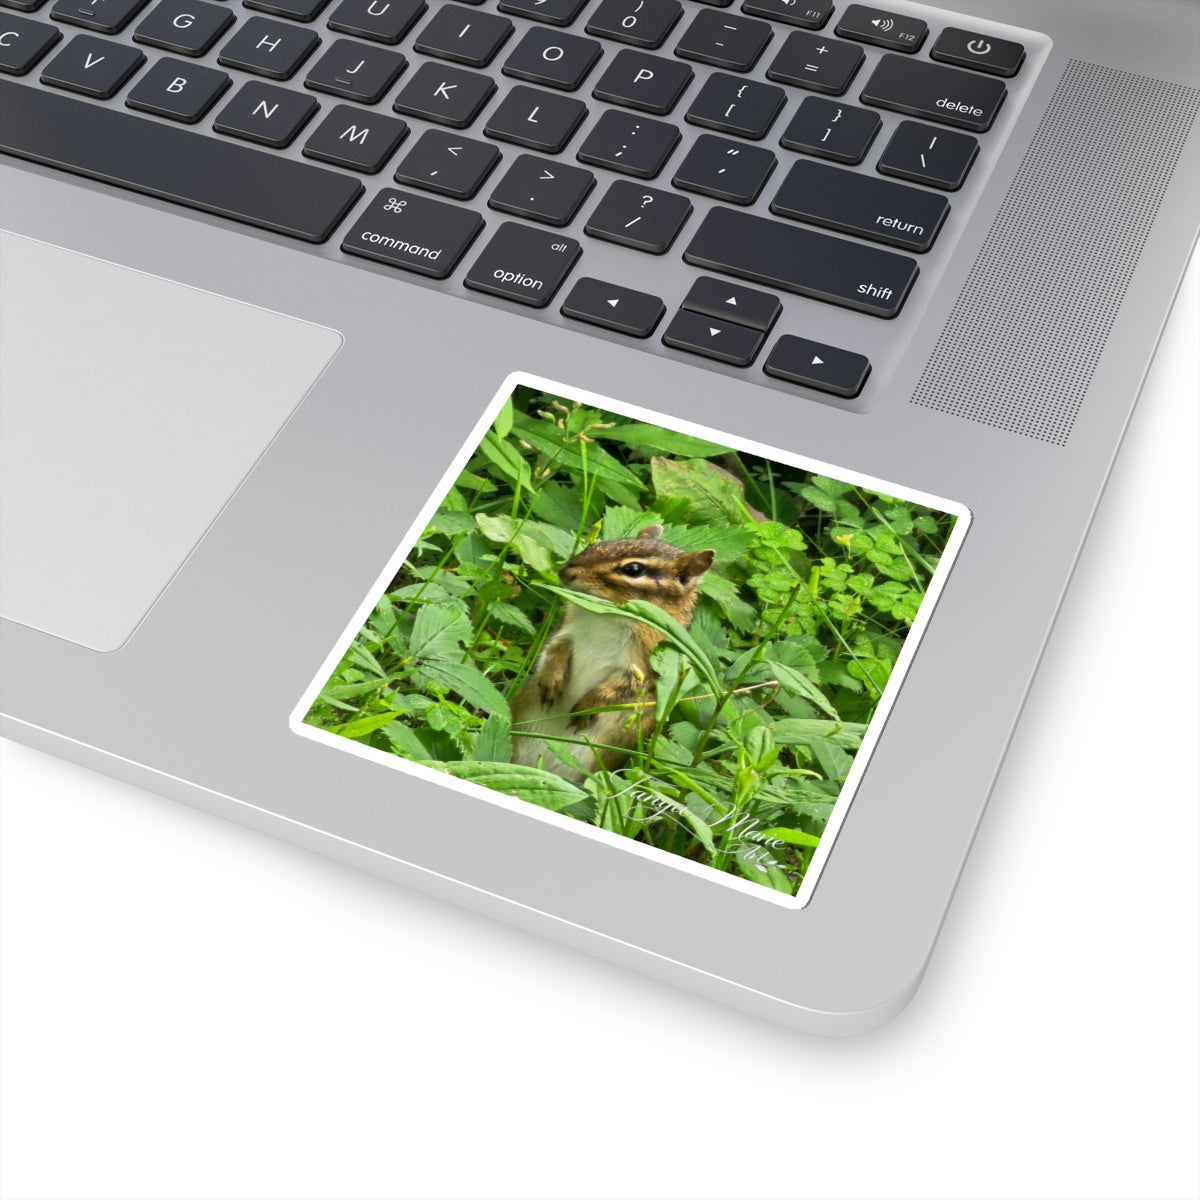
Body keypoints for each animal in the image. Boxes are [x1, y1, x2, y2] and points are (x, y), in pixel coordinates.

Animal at [510, 524, 714, 782]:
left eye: (633, 569)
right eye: (594, 545)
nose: (565, 572)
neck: (607, 615)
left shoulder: (646, 668)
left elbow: (624, 688)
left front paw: (588, 705)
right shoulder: (566, 631)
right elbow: (554, 649)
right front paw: (551, 680)